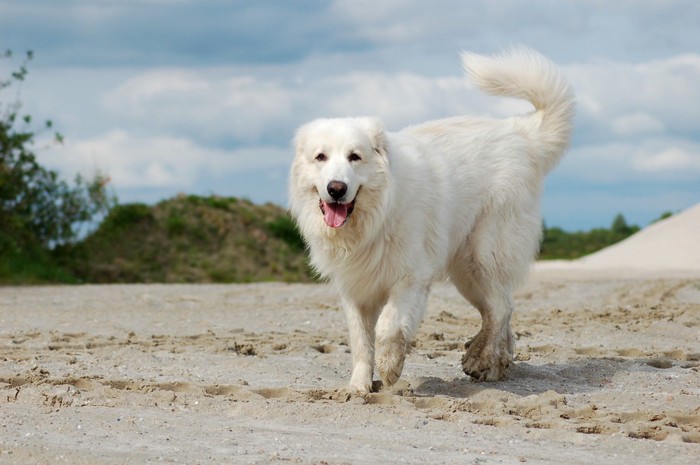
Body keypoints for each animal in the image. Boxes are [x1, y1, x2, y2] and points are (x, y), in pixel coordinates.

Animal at [288, 47, 576, 392]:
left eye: (354, 157)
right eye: (321, 157)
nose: (336, 188)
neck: (375, 218)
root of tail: (521, 133)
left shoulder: (411, 277)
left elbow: (388, 327)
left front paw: (390, 367)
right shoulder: (355, 289)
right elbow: (360, 341)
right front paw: (358, 387)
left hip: (485, 254)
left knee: (500, 307)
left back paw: (479, 358)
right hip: (466, 273)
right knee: (499, 309)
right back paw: (495, 364)